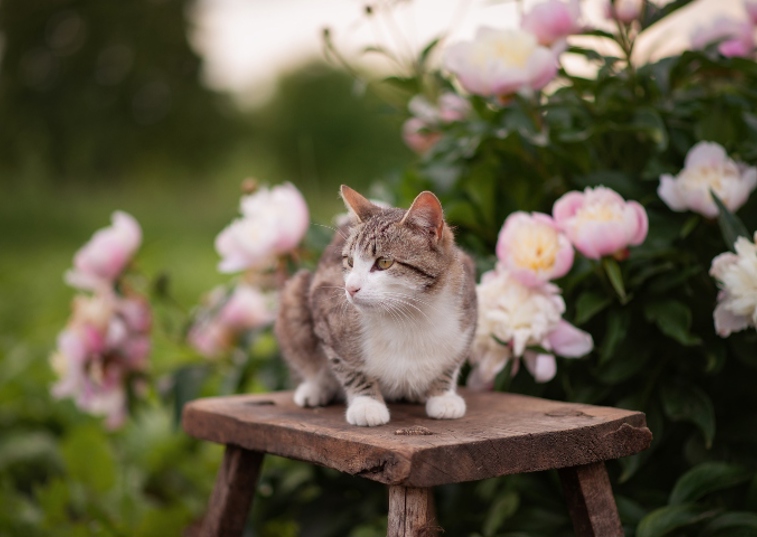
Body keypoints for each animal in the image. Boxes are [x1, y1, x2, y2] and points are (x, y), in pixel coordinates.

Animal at [274, 186, 476, 426]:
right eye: (350, 261)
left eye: (384, 262)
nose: (350, 288)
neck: (409, 316)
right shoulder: (325, 311)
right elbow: (349, 368)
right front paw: (366, 403)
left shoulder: (467, 312)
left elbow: (452, 362)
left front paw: (443, 395)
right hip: (296, 295)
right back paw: (315, 388)